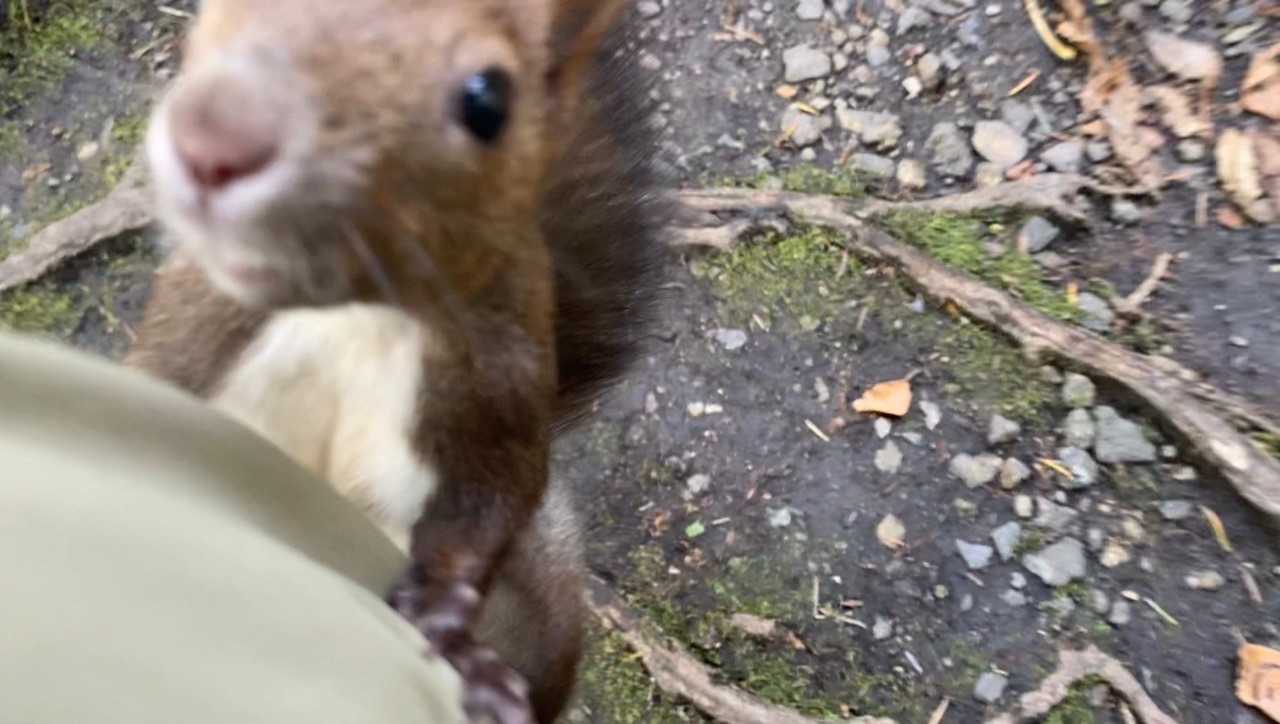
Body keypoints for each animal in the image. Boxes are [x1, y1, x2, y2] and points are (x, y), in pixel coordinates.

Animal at [124, 1, 666, 722]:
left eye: (488, 98)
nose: (215, 136)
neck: (350, 311)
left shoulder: (499, 380)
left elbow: (493, 498)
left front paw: (447, 625)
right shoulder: (189, 335)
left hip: (539, 605)